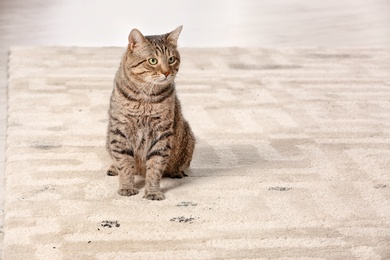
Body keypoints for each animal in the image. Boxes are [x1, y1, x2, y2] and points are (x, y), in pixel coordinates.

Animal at [106, 25, 195, 201]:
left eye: (171, 59)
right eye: (153, 61)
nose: (166, 72)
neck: (145, 98)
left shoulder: (162, 133)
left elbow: (155, 166)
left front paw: (153, 192)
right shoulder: (120, 130)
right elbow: (125, 164)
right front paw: (127, 187)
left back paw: (177, 172)